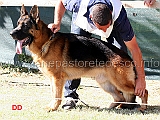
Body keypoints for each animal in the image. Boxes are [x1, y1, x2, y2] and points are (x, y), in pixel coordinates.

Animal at [9, 4, 148, 111]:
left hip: (120, 82)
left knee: (142, 91)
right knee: (120, 97)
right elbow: (53, 93)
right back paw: (112, 107)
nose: (11, 33)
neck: (45, 42)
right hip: (105, 83)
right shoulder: (53, 79)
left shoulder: (57, 78)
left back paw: (143, 107)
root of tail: (127, 56)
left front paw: (53, 108)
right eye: (18, 24)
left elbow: (56, 95)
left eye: (25, 26)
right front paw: (52, 106)